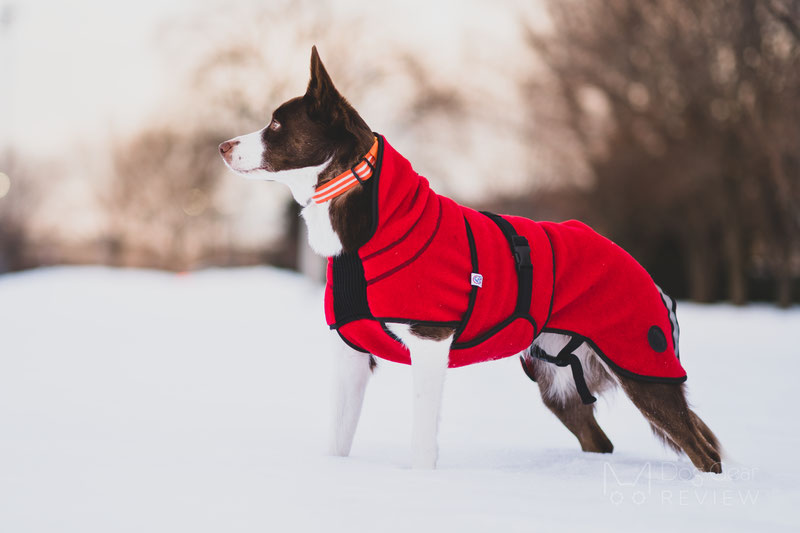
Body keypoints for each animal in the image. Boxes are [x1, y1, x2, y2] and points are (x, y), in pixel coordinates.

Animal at [220, 44, 724, 470]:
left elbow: (422, 440)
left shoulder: (429, 343)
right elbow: (338, 440)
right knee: (600, 440)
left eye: (277, 125)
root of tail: (645, 271)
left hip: (642, 364)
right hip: (557, 380)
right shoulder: (350, 354)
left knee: (705, 451)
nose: (222, 146)